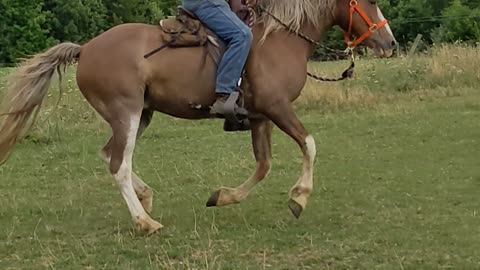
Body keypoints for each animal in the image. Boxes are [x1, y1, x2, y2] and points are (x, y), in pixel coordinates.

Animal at [0, 0, 394, 234]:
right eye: (369, 2)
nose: (389, 43)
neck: (280, 40)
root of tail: (86, 49)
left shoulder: (260, 117)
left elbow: (264, 165)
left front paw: (223, 197)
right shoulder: (277, 108)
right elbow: (309, 145)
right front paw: (299, 198)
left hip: (141, 114)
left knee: (110, 154)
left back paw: (145, 197)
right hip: (126, 112)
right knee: (119, 164)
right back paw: (145, 222)